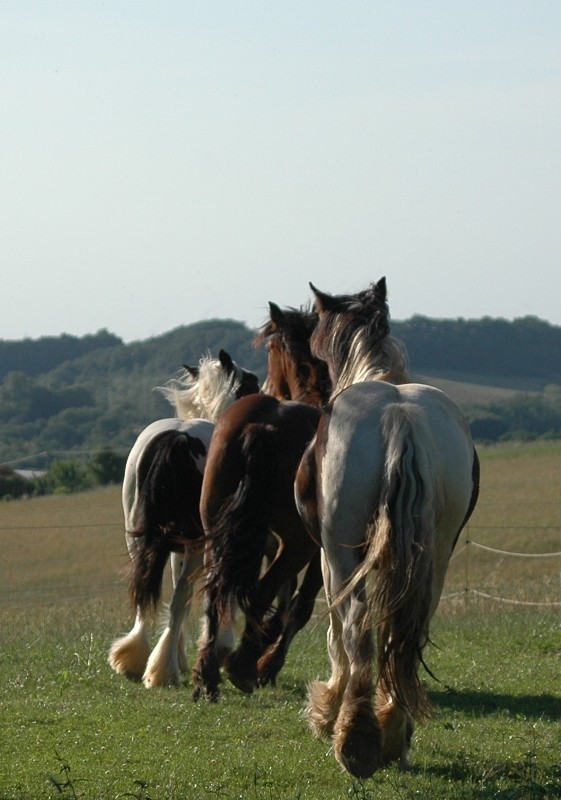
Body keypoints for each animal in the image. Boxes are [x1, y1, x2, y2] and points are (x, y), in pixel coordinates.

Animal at [107, 350, 260, 688]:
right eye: (252, 385)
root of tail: (177, 438)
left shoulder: (179, 550)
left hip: (139, 538)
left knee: (145, 594)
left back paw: (137, 660)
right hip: (193, 546)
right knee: (178, 599)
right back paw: (162, 670)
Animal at [194, 304, 332, 696]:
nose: (265, 384)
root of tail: (266, 426)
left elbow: (286, 600)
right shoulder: (314, 553)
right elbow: (298, 606)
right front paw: (267, 662)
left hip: (217, 531)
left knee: (217, 594)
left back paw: (209, 673)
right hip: (298, 544)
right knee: (261, 593)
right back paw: (240, 665)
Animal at [296, 278, 480, 780]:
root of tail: (400, 418)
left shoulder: (329, 559)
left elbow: (337, 635)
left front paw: (326, 711)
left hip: (343, 554)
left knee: (357, 629)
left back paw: (355, 741)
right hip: (434, 559)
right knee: (406, 635)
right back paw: (394, 733)